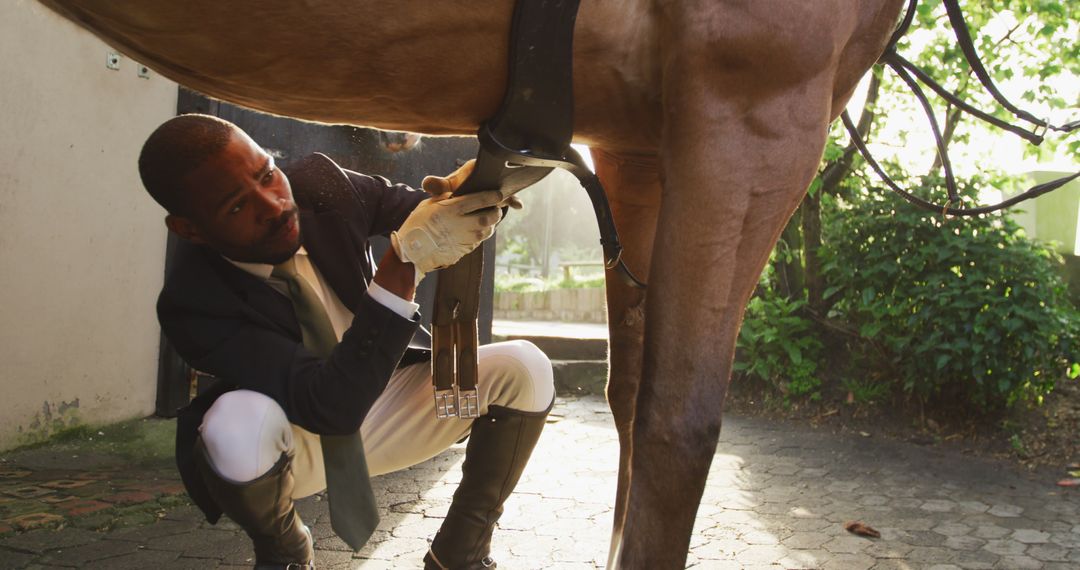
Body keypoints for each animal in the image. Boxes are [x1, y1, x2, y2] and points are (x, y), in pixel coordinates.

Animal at [39, 2, 902, 565]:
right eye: (236, 199)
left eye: (265, 183)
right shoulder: (751, 107)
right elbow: (678, 429)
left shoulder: (640, 147)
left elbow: (629, 399)